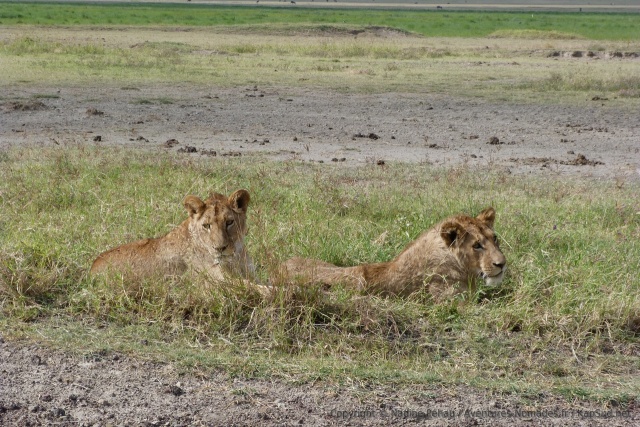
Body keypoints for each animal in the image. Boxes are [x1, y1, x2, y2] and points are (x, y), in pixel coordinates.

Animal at [90, 189, 256, 283]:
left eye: (229, 222)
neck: (236, 257)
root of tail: (92, 268)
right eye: (206, 226)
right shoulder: (215, 282)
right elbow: (255, 288)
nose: (220, 248)